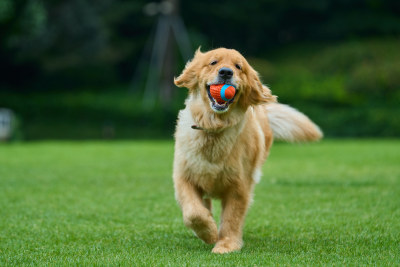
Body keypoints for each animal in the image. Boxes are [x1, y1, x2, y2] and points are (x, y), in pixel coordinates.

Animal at [172, 48, 322, 255]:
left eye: (238, 66)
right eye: (213, 62)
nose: (226, 72)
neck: (214, 128)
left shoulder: (240, 185)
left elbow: (231, 219)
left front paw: (226, 245)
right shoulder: (184, 176)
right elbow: (194, 212)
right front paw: (209, 232)